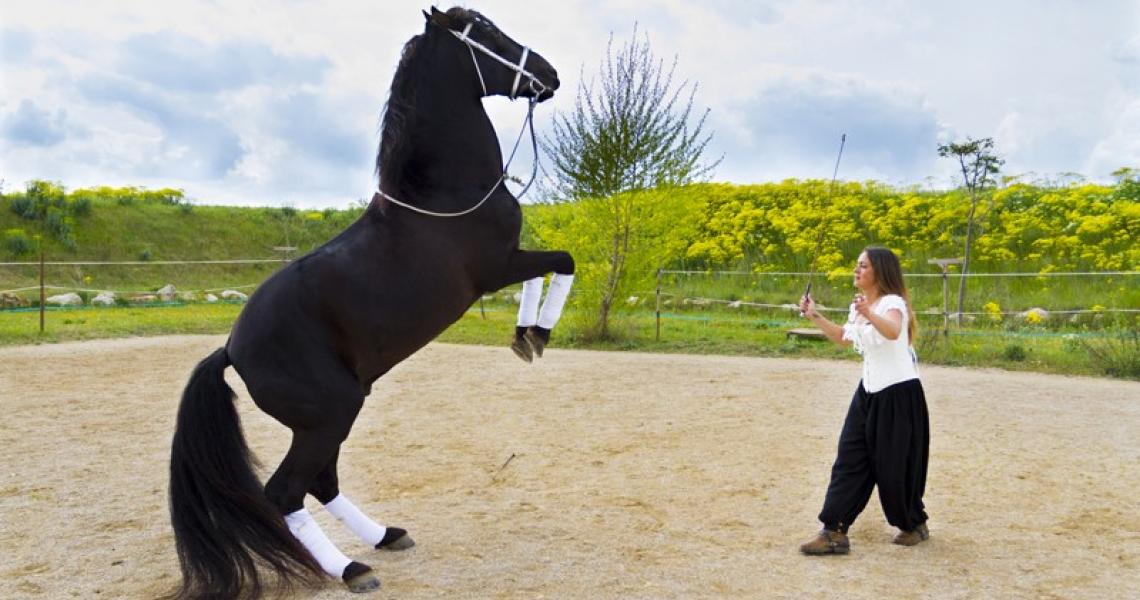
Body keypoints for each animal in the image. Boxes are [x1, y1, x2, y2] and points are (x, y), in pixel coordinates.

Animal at [166, 7, 570, 597]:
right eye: (484, 29)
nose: (548, 74)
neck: (440, 196)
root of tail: (231, 349)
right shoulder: (497, 268)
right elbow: (563, 261)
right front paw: (535, 334)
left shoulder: (508, 264)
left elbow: (552, 268)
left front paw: (525, 335)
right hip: (329, 415)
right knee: (285, 492)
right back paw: (351, 568)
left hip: (331, 416)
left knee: (321, 482)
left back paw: (384, 536)